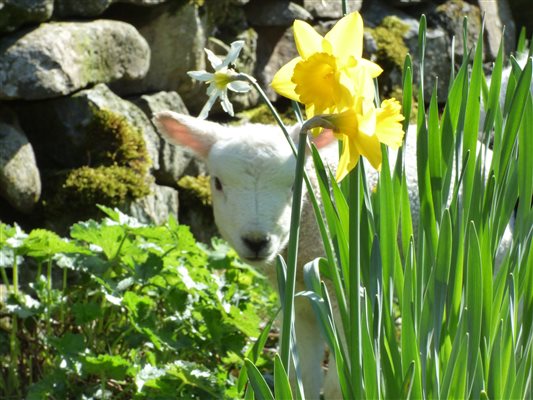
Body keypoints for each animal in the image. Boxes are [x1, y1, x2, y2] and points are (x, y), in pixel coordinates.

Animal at [153, 110, 512, 400]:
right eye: (217, 183)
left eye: (293, 186)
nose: (256, 241)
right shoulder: (299, 298)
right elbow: (302, 378)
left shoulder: (349, 287)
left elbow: (341, 381)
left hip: (493, 249)